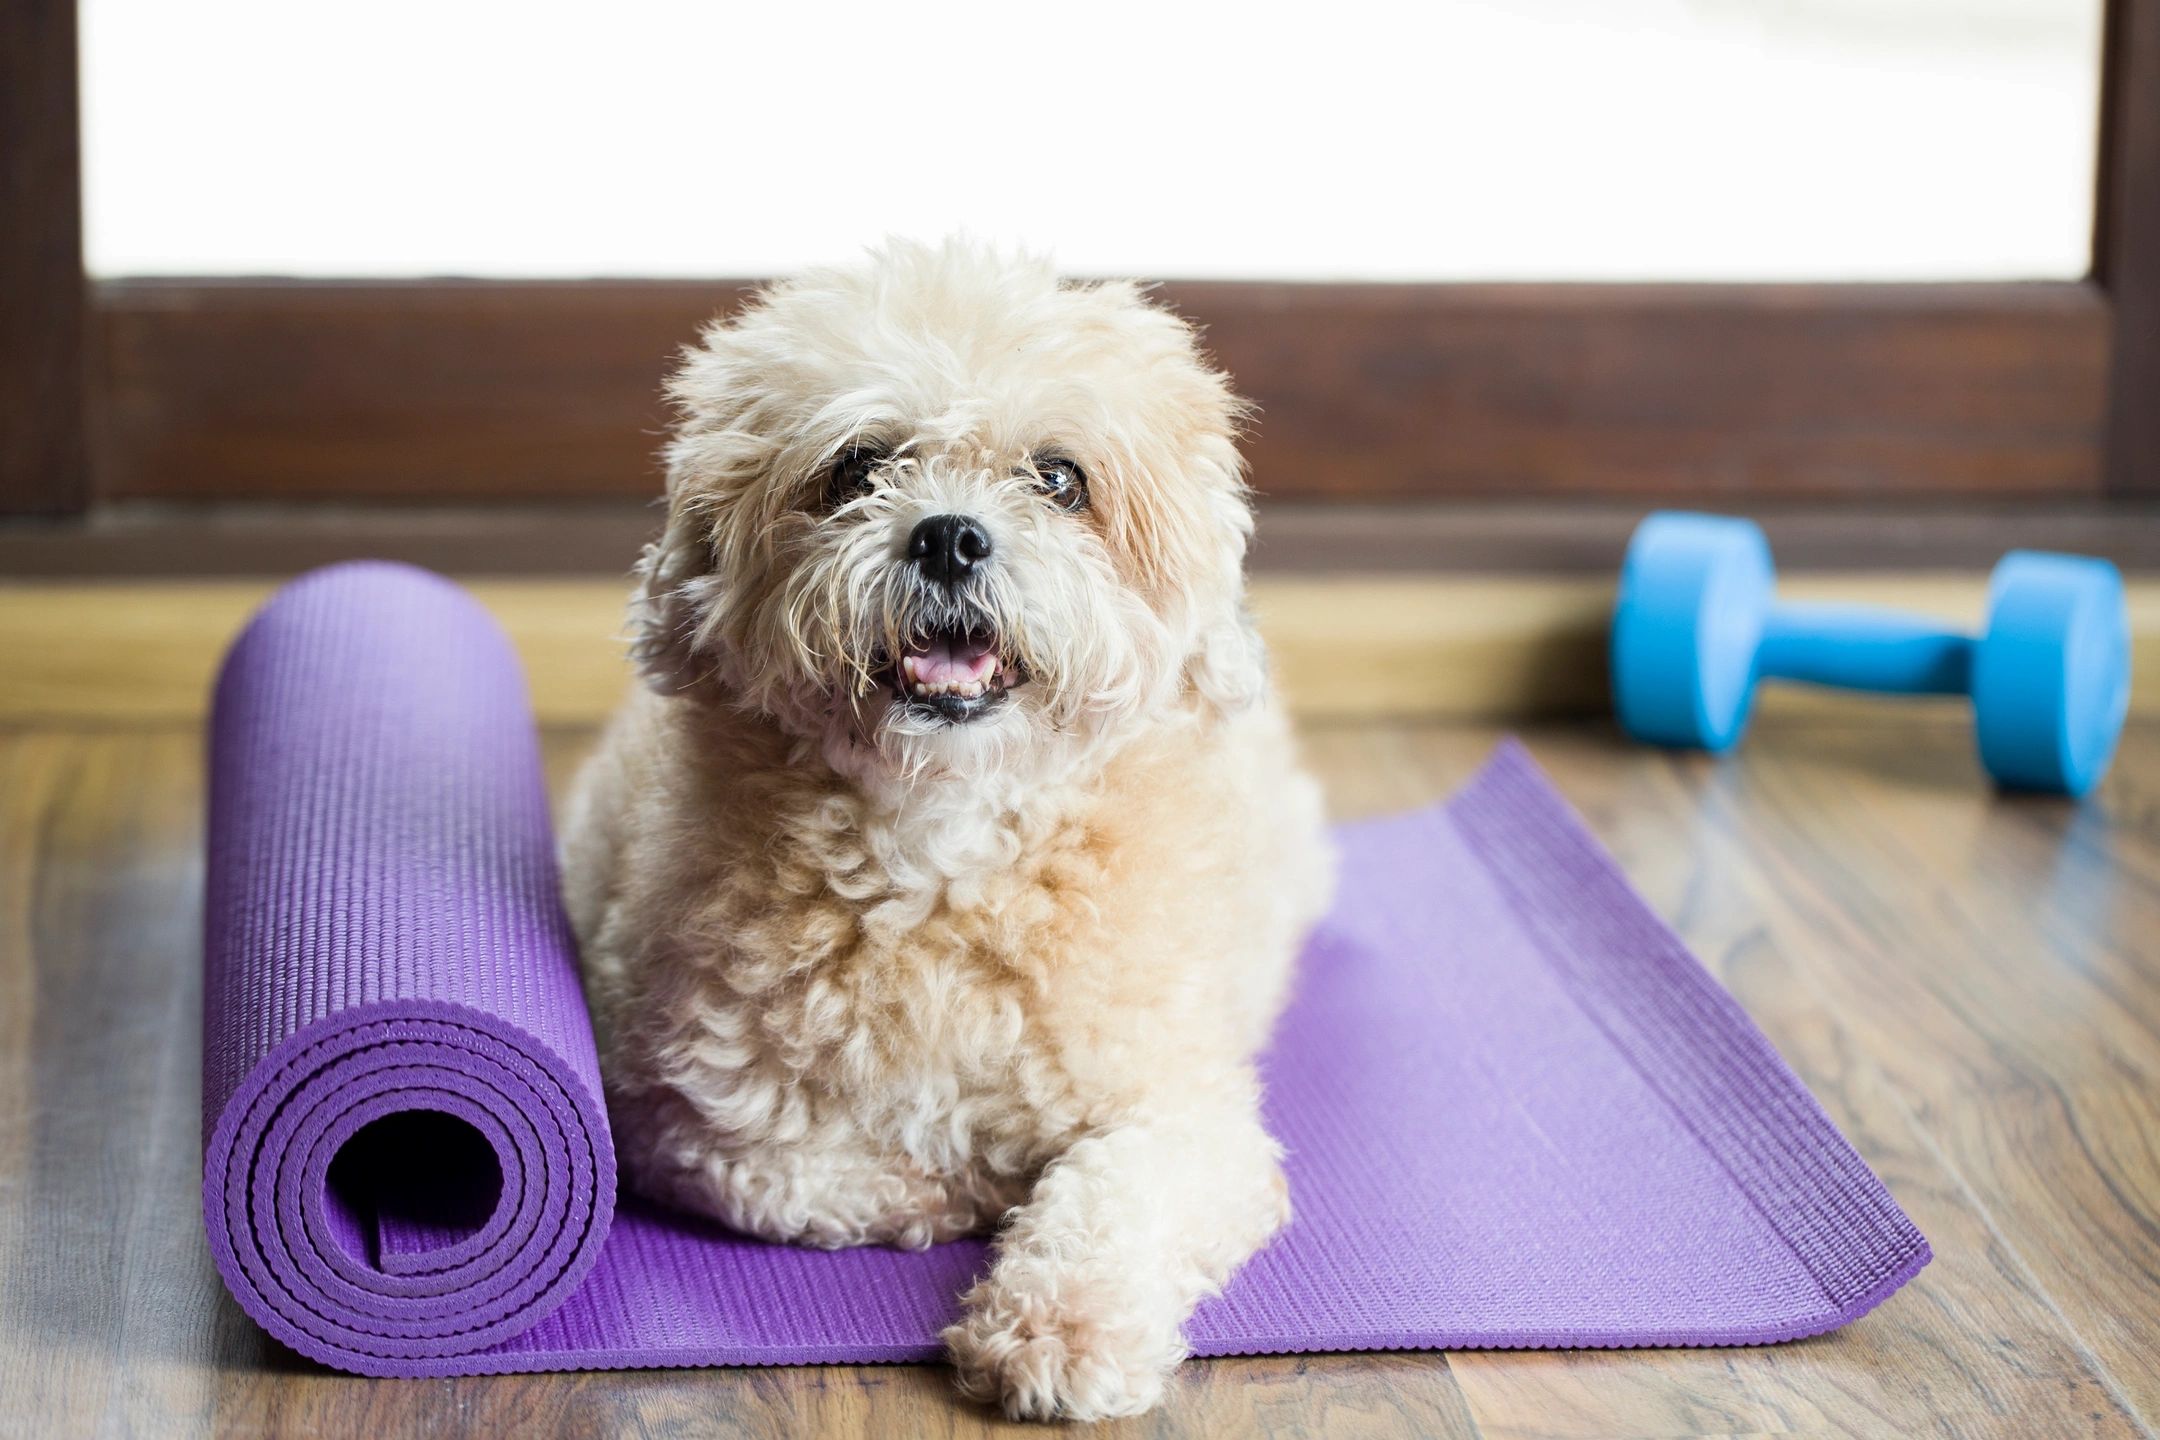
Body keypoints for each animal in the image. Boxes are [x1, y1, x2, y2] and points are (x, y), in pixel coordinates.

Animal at [561, 236, 1330, 1416]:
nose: (950, 537)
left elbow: (1119, 1201)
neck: (946, 850)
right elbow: (802, 1178)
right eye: (856, 469)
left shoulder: (1188, 1113)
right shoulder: (681, 1117)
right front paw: (960, 1188)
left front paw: (1058, 1329)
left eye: (1059, 479)